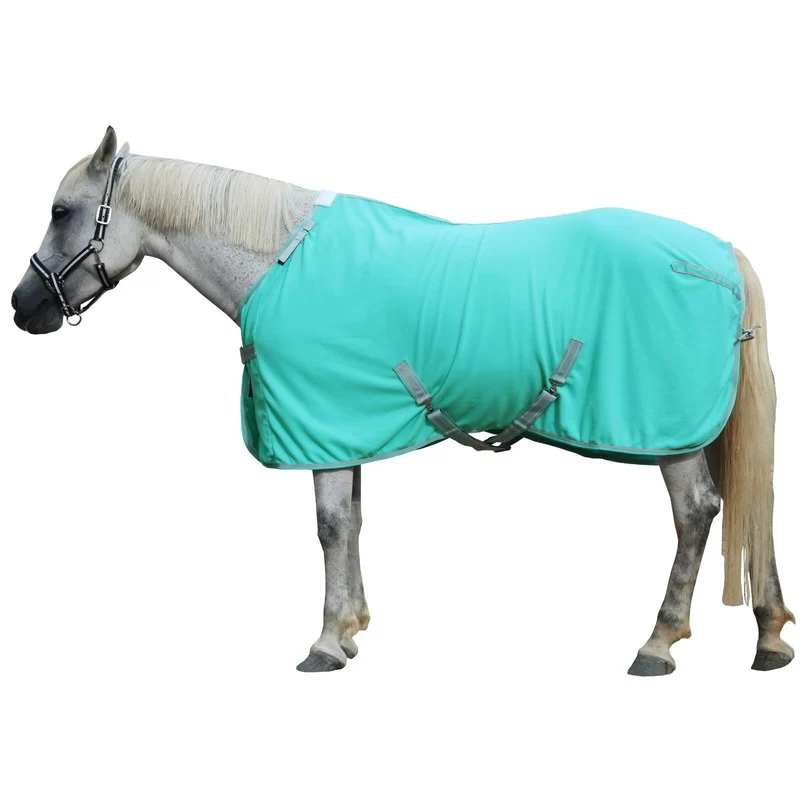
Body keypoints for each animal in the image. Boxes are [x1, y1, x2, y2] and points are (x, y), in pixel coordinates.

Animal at [12, 127, 794, 674]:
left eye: (61, 210)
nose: (23, 307)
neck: (279, 260)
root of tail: (721, 256)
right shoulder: (343, 428)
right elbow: (354, 523)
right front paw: (352, 629)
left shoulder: (321, 423)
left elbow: (330, 528)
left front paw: (325, 644)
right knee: (747, 504)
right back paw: (769, 635)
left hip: (671, 432)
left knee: (696, 513)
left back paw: (658, 644)